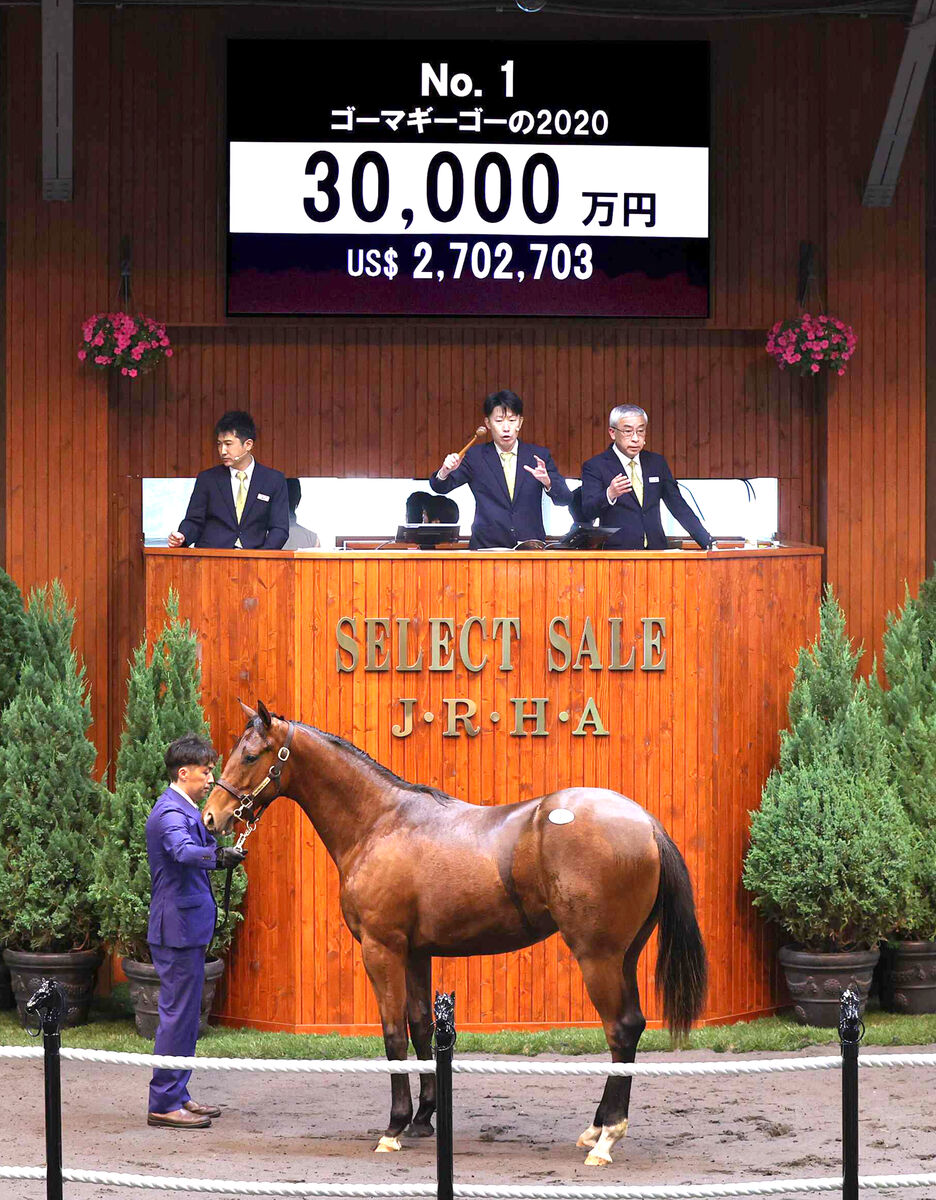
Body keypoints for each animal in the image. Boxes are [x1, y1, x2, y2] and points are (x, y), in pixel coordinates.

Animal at [203, 701, 707, 1167]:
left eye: (250, 755)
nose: (211, 816)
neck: (382, 823)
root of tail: (646, 822)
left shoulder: (381, 949)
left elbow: (393, 1035)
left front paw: (394, 1127)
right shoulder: (415, 953)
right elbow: (422, 1027)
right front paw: (424, 1118)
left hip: (597, 956)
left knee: (619, 1029)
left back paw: (607, 1138)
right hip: (625, 955)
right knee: (634, 1026)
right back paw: (597, 1127)